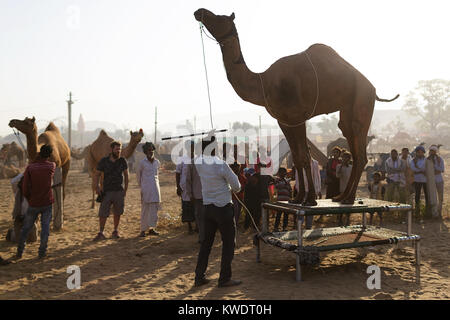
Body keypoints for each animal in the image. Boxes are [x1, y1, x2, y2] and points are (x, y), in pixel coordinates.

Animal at [195, 10, 400, 205]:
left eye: (219, 17)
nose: (199, 11)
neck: (264, 83)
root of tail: (374, 90)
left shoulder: (297, 117)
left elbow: (304, 157)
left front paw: (310, 200)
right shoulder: (284, 121)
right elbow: (296, 156)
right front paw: (298, 198)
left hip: (362, 100)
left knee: (361, 151)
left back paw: (348, 198)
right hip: (347, 110)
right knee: (352, 144)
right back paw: (341, 197)